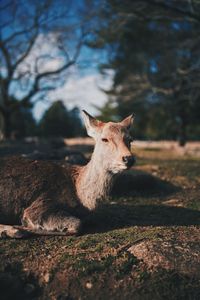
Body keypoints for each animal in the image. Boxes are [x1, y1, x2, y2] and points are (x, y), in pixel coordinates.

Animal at [0, 110, 135, 239]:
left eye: (130, 139)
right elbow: (76, 225)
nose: (128, 158)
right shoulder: (39, 206)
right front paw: (19, 227)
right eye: (104, 139)